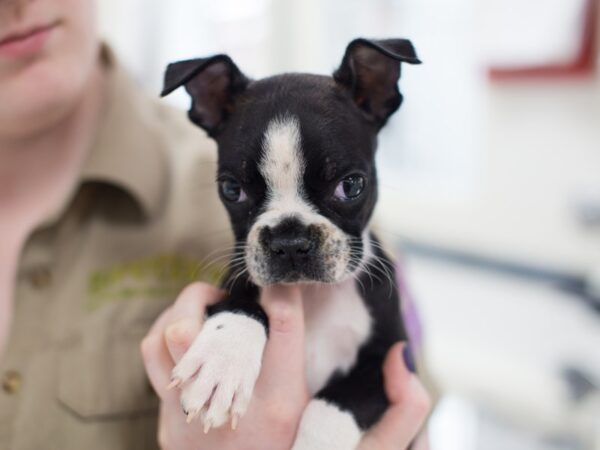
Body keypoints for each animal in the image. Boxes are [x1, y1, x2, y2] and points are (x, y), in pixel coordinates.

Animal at [162, 37, 420, 448]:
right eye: (231, 189)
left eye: (352, 185)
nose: (290, 239)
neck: (313, 295)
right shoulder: (230, 282)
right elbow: (240, 305)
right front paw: (221, 359)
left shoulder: (389, 360)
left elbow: (335, 402)